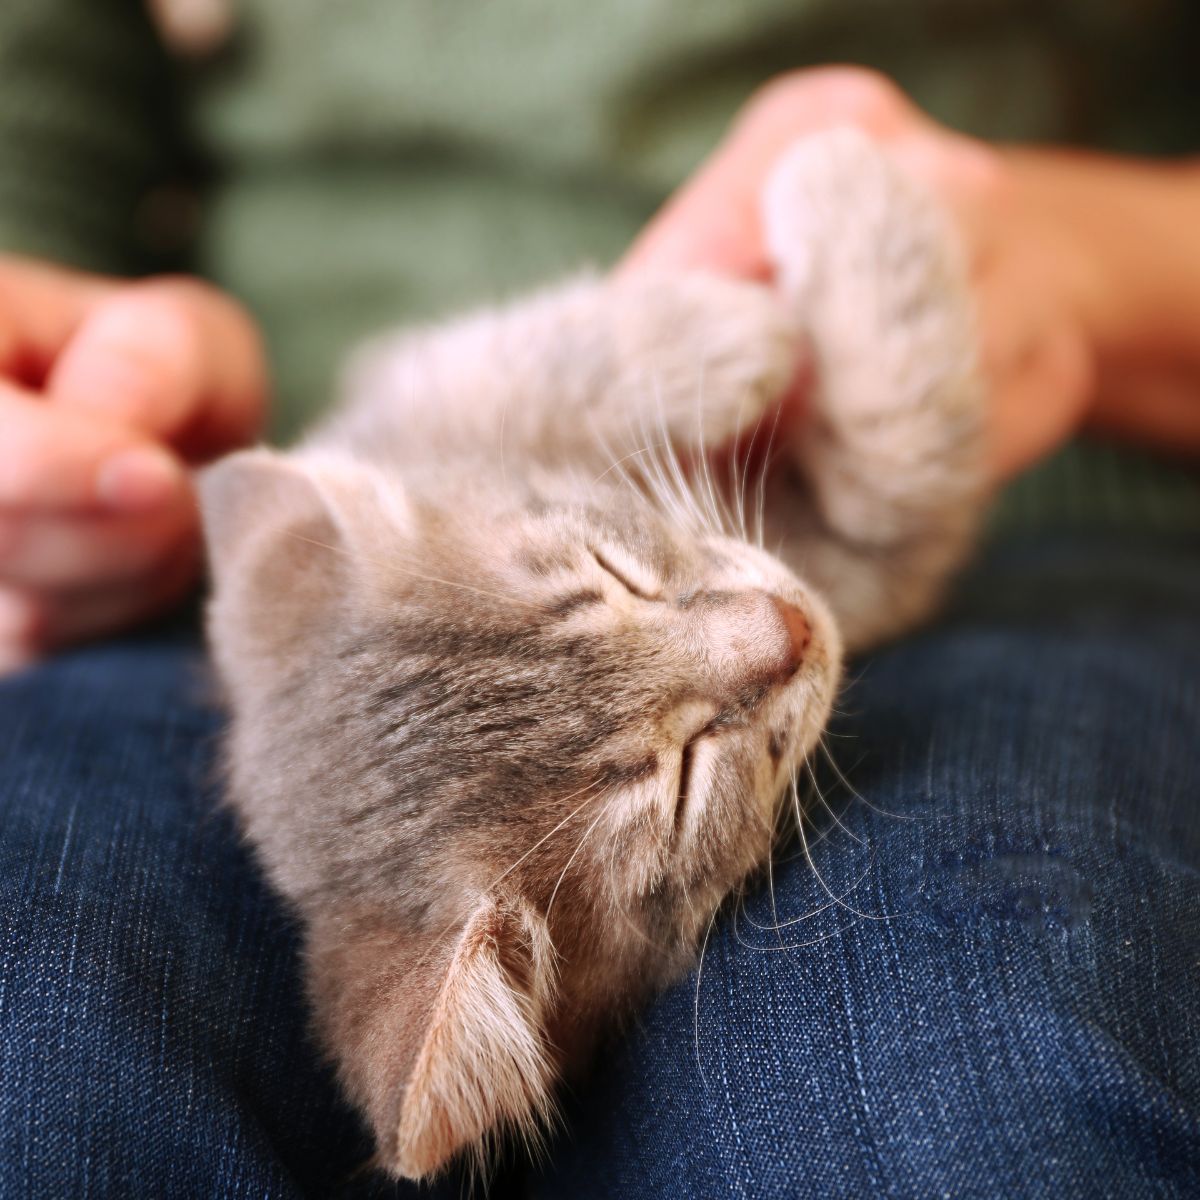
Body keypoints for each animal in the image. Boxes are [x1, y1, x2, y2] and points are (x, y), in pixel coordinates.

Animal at [196, 131, 984, 1180]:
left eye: (615, 575)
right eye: (683, 780)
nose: (790, 627)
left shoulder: (405, 404)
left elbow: (510, 359)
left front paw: (734, 311)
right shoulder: (864, 575)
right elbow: (902, 486)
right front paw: (825, 208)